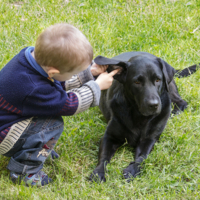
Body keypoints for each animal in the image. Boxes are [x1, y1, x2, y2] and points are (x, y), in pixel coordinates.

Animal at [90, 52, 198, 183]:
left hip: (170, 90)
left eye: (158, 80)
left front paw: (131, 170)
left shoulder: (149, 139)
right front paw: (98, 173)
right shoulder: (109, 136)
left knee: (181, 102)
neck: (139, 115)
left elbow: (142, 157)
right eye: (137, 82)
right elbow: (104, 156)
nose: (153, 105)